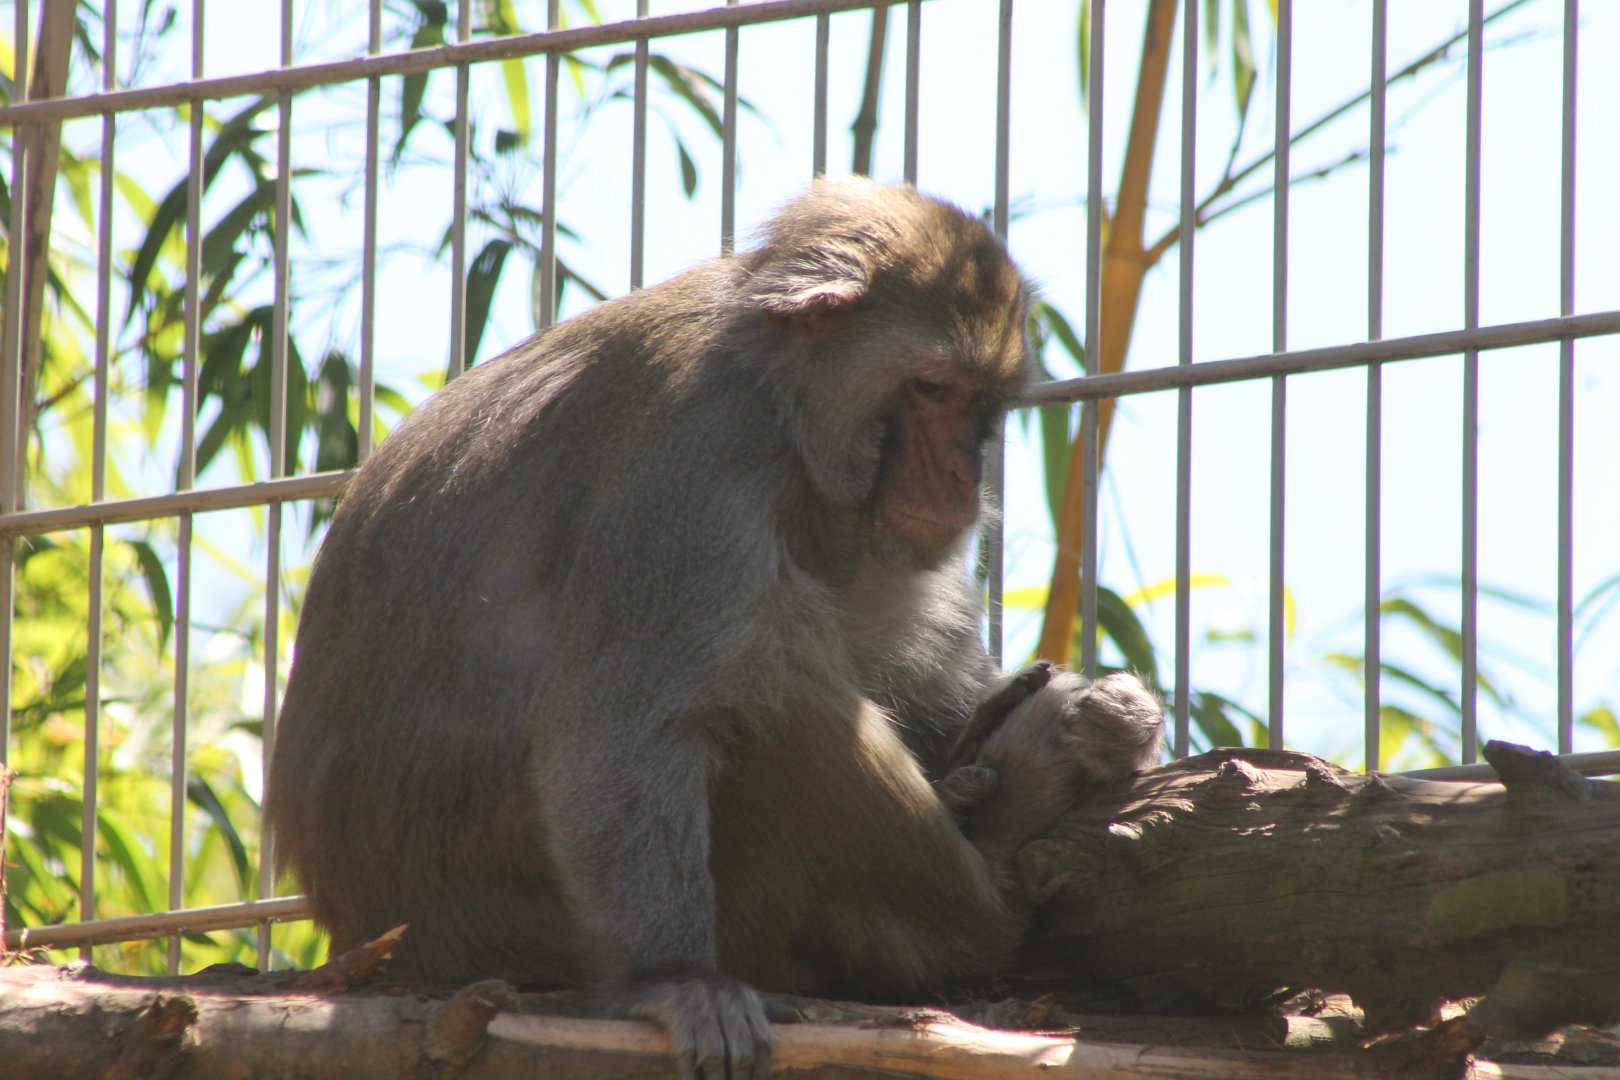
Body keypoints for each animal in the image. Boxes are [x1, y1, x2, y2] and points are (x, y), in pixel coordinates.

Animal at [266, 177, 1164, 1080]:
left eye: (979, 403)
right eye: (931, 388)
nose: (961, 472)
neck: (780, 408)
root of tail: (370, 931)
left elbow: (924, 686)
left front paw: (1110, 719)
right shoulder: (693, 459)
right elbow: (623, 724)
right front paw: (676, 979)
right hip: (511, 912)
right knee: (779, 692)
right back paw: (1004, 852)